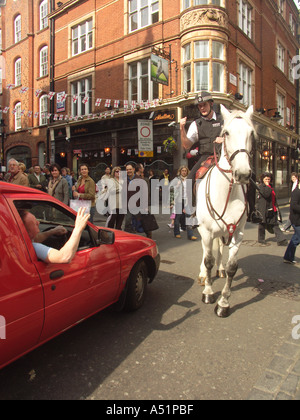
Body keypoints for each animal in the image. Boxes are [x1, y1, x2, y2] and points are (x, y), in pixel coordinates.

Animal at [197, 105, 255, 318]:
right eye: (226, 133)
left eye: (251, 133)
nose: (243, 174)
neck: (227, 194)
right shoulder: (206, 231)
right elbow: (208, 260)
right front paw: (208, 292)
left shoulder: (237, 233)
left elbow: (232, 267)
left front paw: (223, 303)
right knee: (206, 251)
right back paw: (203, 275)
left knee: (220, 248)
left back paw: (219, 270)